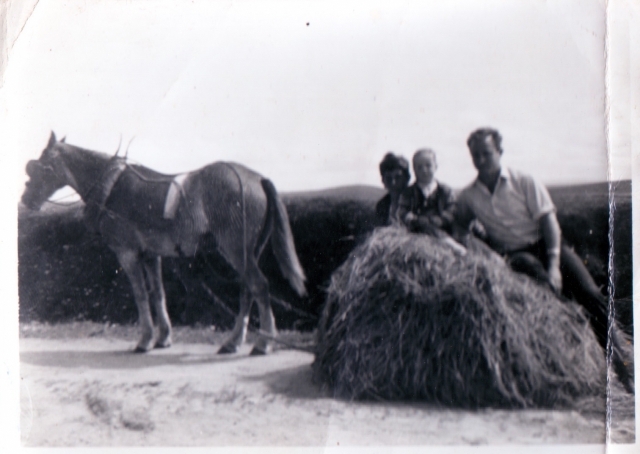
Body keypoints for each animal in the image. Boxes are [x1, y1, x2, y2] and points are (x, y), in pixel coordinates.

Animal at [21, 131, 306, 354]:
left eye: (40, 166)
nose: (26, 200)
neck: (112, 187)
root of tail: (257, 178)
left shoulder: (128, 253)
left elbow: (140, 294)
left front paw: (146, 339)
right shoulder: (150, 254)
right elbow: (157, 293)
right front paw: (163, 337)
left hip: (235, 248)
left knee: (259, 286)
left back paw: (263, 343)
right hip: (248, 251)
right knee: (248, 289)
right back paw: (233, 342)